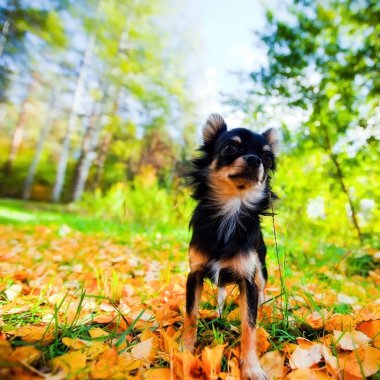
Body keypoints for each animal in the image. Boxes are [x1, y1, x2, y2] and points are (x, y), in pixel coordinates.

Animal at [183, 113, 278, 380]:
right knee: (221, 292)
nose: (255, 159)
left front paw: (252, 368)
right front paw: (184, 351)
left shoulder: (248, 283)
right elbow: (191, 315)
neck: (230, 212)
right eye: (230, 148)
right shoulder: (194, 275)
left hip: (261, 270)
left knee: (262, 290)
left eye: (268, 158)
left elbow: (249, 325)